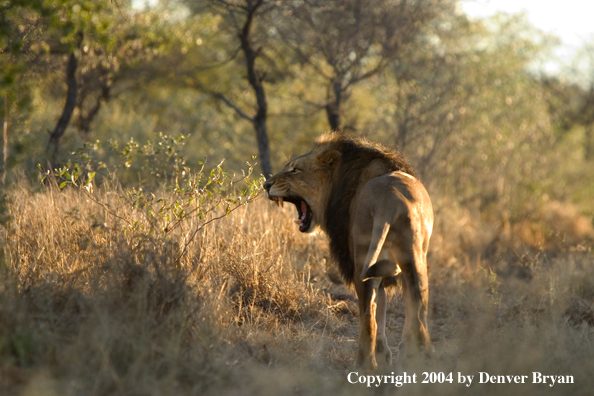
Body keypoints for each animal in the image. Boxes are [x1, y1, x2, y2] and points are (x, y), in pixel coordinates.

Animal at [262, 133, 430, 372]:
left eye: (295, 169)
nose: (265, 185)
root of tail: (389, 202)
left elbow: (376, 312)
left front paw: (381, 357)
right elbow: (384, 307)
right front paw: (389, 356)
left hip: (362, 262)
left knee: (367, 317)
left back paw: (364, 364)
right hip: (414, 259)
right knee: (418, 304)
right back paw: (421, 354)